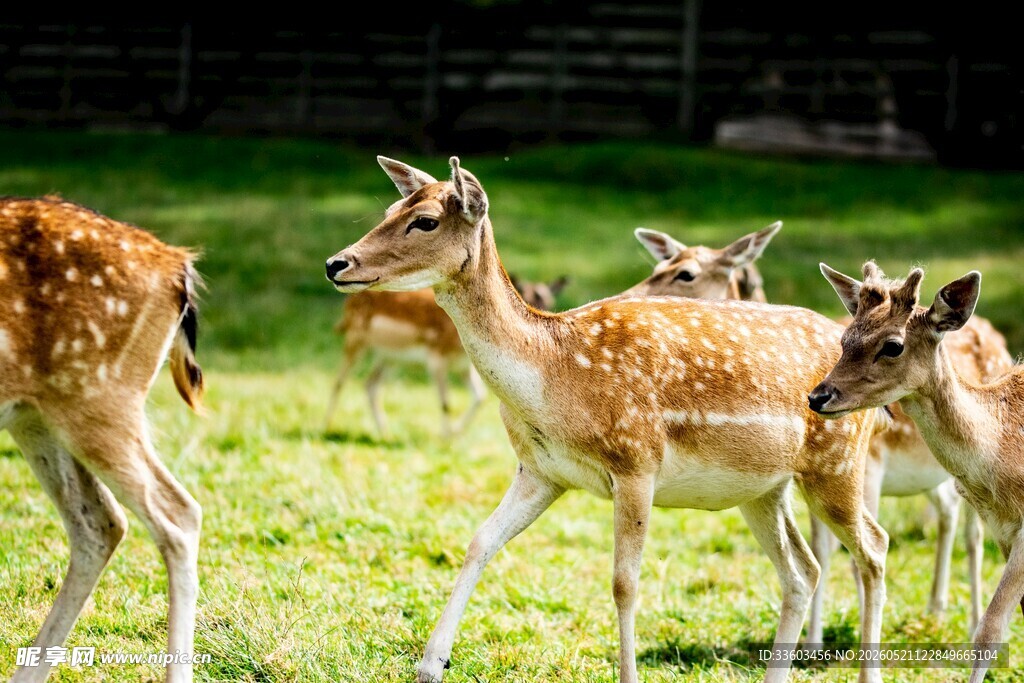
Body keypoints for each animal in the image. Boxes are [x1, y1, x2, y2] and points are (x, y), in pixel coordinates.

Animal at [323, 277, 566, 438]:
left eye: (550, 300)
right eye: (523, 296)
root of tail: (346, 305)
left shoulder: (463, 366)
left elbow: (479, 397)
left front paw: (455, 434)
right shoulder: (436, 357)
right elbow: (445, 402)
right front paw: (444, 438)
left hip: (390, 356)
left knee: (370, 384)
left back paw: (385, 432)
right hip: (356, 337)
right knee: (339, 380)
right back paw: (328, 426)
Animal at [625, 222, 1001, 641]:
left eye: (686, 273)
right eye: (660, 264)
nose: (628, 298)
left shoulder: (866, 465)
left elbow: (849, 553)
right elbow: (821, 548)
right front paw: (812, 641)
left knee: (973, 533)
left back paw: (970, 621)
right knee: (947, 511)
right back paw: (935, 609)